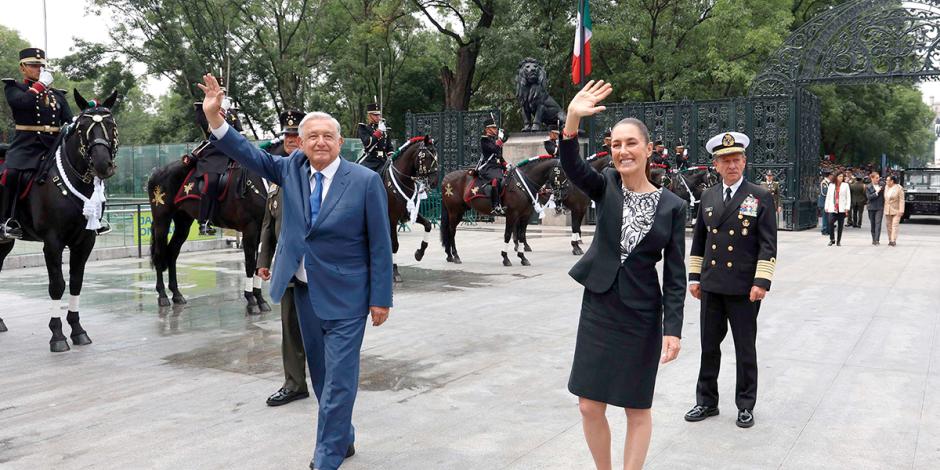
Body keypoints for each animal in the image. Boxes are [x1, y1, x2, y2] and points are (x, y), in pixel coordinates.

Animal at [0, 90, 120, 350]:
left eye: (111, 124)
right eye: (82, 127)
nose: (102, 165)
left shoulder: (85, 241)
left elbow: (76, 282)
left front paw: (77, 330)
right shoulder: (53, 242)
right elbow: (57, 285)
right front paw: (57, 335)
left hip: (4, 242)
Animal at [147, 146, 270, 312]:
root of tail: (156, 172)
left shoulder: (260, 231)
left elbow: (258, 264)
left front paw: (260, 299)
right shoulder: (249, 229)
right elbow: (250, 263)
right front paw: (251, 300)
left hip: (183, 222)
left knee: (172, 253)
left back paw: (177, 294)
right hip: (162, 219)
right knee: (160, 255)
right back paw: (162, 295)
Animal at [382, 136, 440, 282]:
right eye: (426, 156)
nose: (435, 181)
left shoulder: (409, 213)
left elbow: (428, 224)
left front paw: (420, 253)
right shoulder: (392, 218)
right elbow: (394, 244)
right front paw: (395, 272)